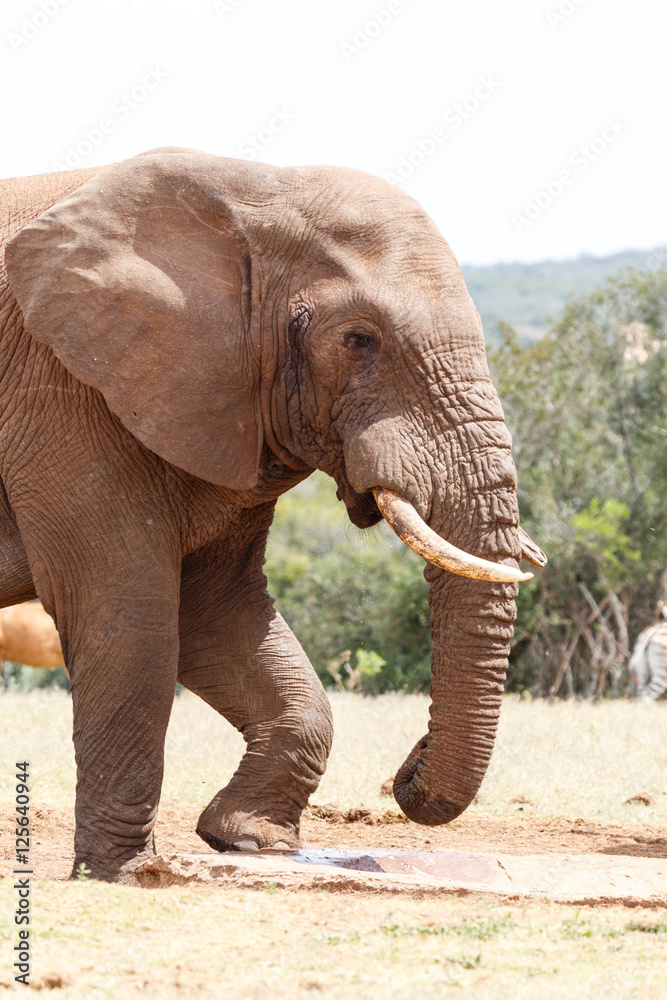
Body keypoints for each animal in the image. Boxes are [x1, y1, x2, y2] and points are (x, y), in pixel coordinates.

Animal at [0, 147, 545, 880]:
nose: (407, 764)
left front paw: (250, 840)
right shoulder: (62, 388)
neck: (257, 190)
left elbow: (217, 614)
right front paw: (132, 874)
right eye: (358, 340)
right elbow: (126, 615)